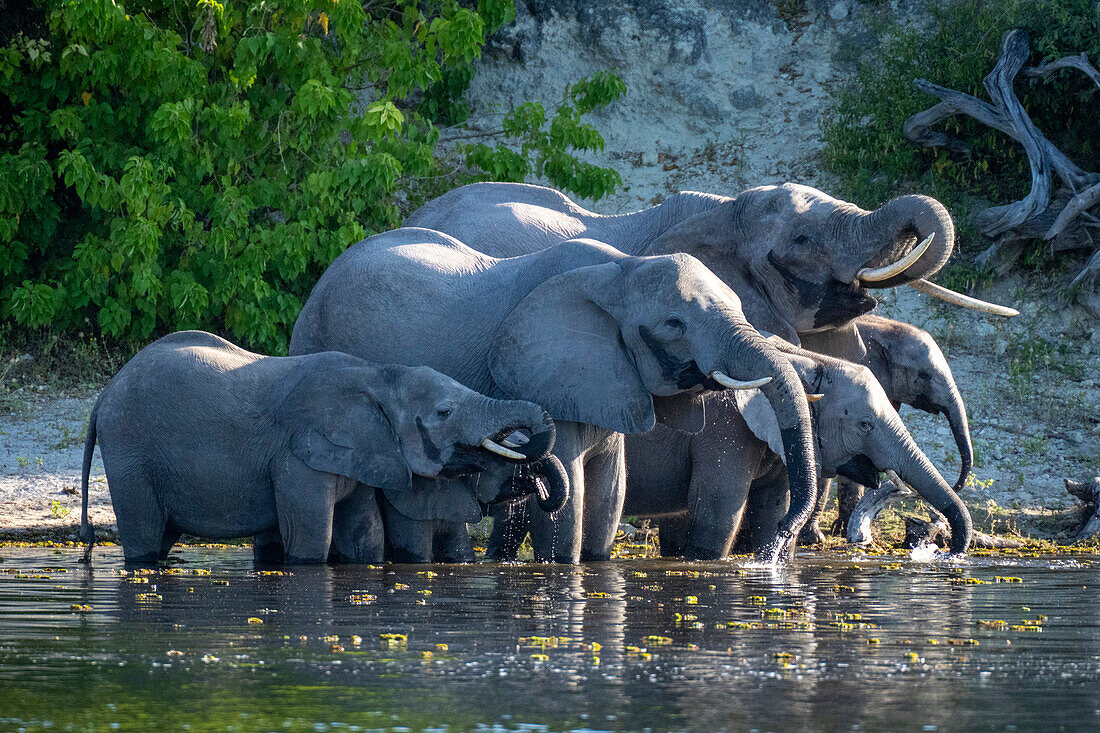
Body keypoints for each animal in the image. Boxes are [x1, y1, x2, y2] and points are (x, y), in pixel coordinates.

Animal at [78, 327, 563, 561]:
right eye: (444, 412)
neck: (380, 375)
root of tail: (102, 396)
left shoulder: (364, 453)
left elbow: (364, 537)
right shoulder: (299, 454)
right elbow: (311, 538)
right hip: (131, 453)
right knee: (144, 536)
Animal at [288, 226, 822, 559]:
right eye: (675, 324)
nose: (778, 544)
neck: (620, 270)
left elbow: (608, 495)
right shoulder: (546, 372)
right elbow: (571, 505)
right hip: (314, 343)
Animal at [620, 343, 972, 554]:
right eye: (865, 425)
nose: (946, 551)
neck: (808, 360)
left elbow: (769, 514)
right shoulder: (723, 432)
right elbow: (716, 521)